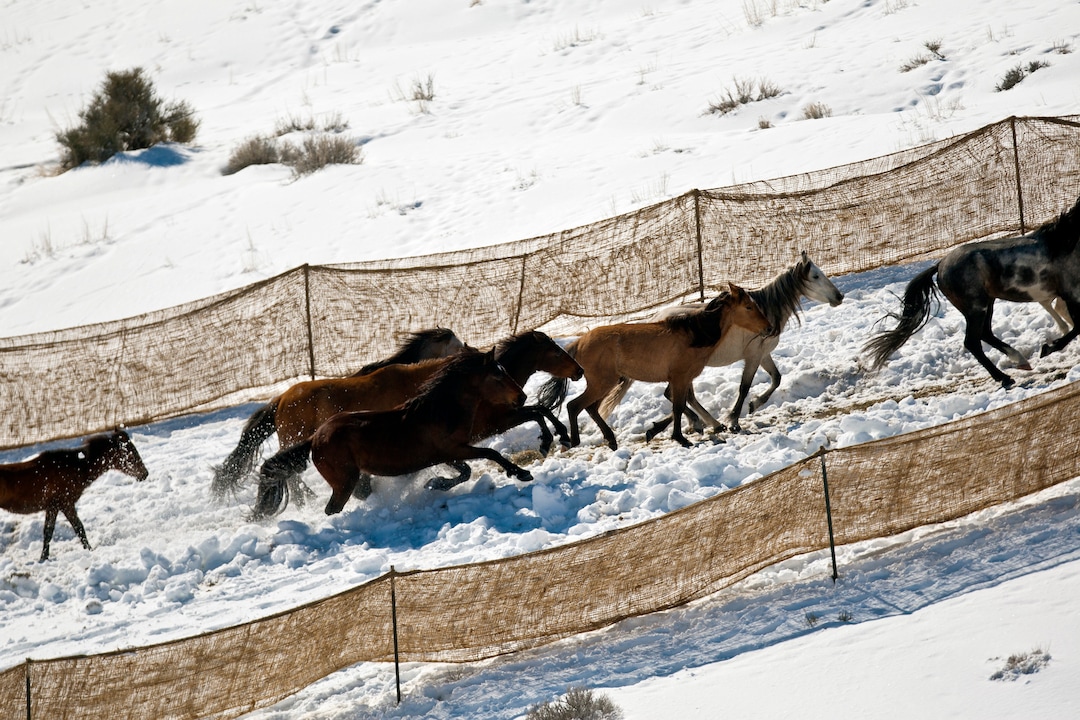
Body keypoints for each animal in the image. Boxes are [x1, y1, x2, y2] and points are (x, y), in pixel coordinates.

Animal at [0, 429, 149, 561]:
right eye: (131, 455)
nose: (145, 474)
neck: (77, 468)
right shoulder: (66, 504)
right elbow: (79, 528)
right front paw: (89, 549)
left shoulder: (52, 507)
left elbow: (48, 532)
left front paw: (43, 558)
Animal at [241, 331, 581, 512]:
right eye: (554, 351)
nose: (578, 370)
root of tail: (280, 400)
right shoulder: (489, 426)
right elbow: (536, 413)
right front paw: (549, 442)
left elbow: (539, 411)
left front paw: (557, 438)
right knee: (295, 476)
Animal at [537, 283, 772, 450]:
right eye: (749, 307)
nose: (769, 328)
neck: (694, 335)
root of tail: (578, 343)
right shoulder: (680, 377)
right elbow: (678, 406)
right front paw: (681, 438)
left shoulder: (681, 379)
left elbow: (679, 405)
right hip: (602, 383)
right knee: (574, 406)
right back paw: (574, 441)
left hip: (604, 383)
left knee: (591, 408)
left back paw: (611, 440)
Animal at [607, 251, 843, 437]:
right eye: (815, 275)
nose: (839, 296)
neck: (764, 312)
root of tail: (656, 318)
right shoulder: (753, 356)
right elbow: (744, 387)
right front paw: (734, 419)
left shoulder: (763, 354)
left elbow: (776, 378)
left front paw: (753, 405)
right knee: (677, 394)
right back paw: (705, 423)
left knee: (679, 395)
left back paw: (695, 423)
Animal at [863, 195, 1080, 388]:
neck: (1065, 243)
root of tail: (940, 266)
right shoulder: (1071, 293)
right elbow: (1076, 327)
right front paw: (1048, 348)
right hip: (976, 308)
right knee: (972, 342)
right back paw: (1005, 378)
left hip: (987, 304)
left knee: (985, 333)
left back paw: (1020, 361)